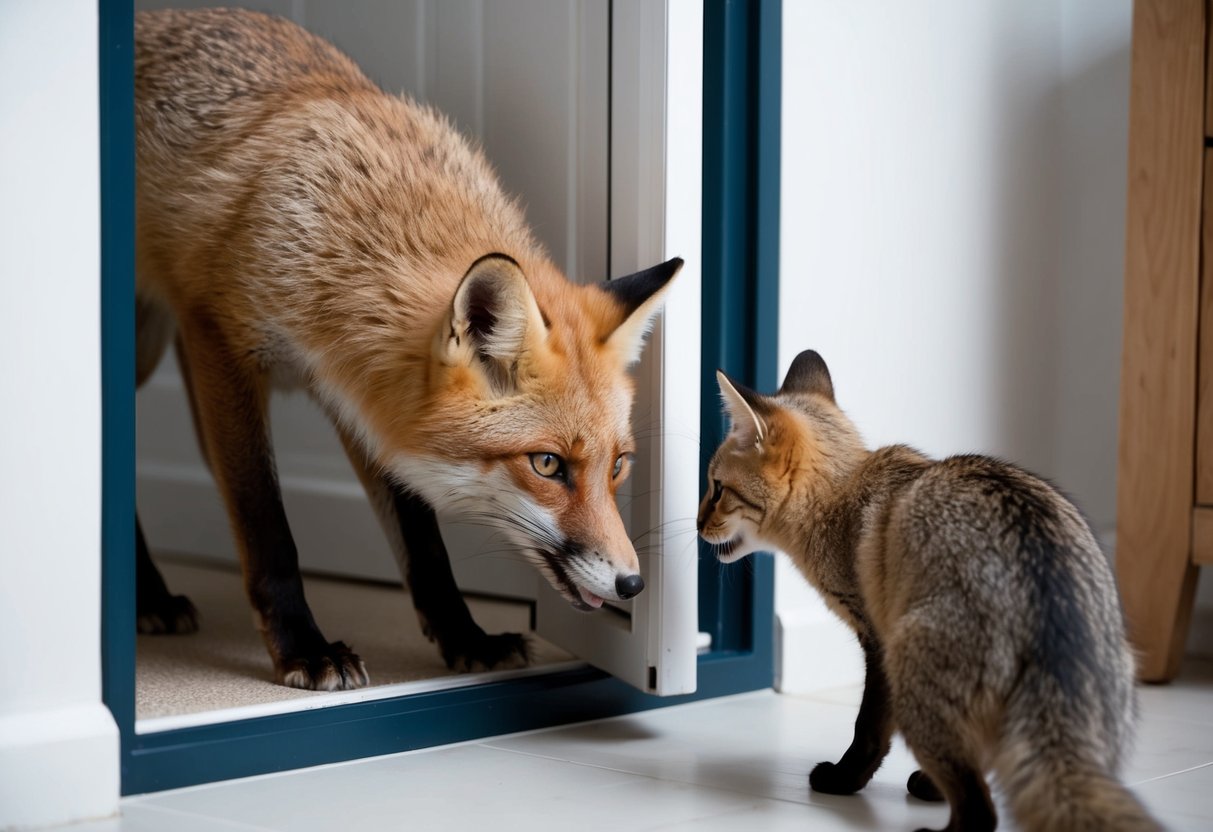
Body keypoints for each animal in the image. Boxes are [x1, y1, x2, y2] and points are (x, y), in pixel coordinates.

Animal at [134, 7, 681, 691]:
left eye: (619, 466)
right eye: (548, 464)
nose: (633, 584)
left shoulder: (363, 396)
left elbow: (423, 541)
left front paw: (465, 638)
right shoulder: (220, 343)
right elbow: (268, 528)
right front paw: (304, 649)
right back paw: (150, 597)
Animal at [697, 349, 1160, 832]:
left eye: (716, 488)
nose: (695, 525)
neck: (843, 498)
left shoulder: (877, 640)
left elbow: (867, 730)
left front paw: (844, 780)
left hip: (909, 664)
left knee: (981, 813)